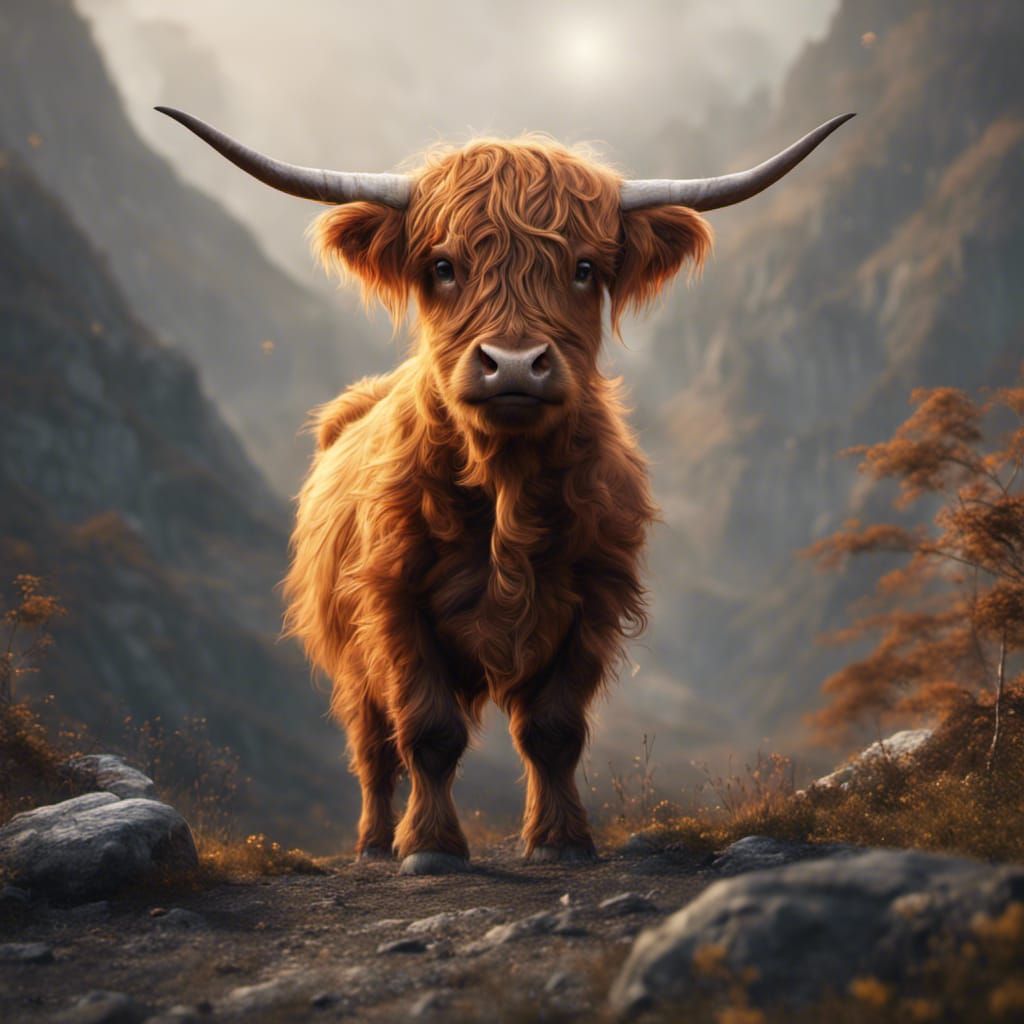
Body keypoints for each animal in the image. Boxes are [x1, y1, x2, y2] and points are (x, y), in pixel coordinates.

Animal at [159, 107, 853, 874]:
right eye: (442, 266)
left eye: (584, 268)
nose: (515, 364)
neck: (506, 490)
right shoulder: (395, 604)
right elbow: (428, 731)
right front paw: (430, 848)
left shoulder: (592, 602)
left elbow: (554, 730)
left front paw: (560, 839)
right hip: (352, 659)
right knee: (371, 748)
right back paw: (373, 842)